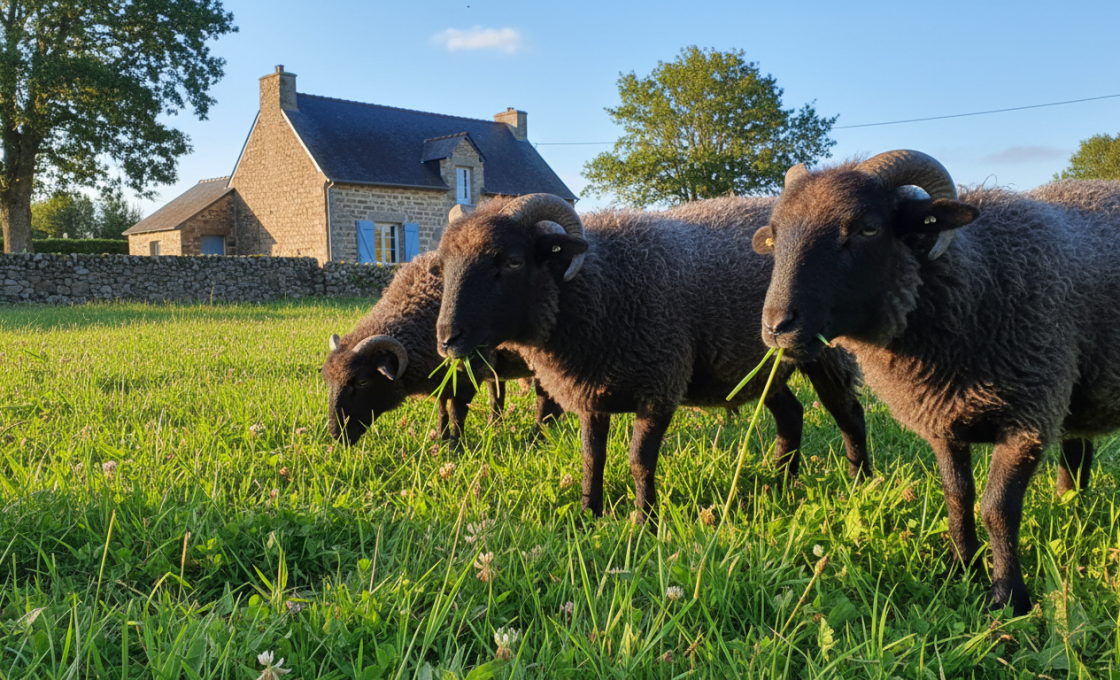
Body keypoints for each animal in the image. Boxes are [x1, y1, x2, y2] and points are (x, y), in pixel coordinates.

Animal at [322, 251, 563, 447]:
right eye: (327, 380)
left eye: (362, 382)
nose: (337, 436)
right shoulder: (442, 379)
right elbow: (442, 411)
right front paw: (441, 439)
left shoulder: (467, 376)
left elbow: (457, 413)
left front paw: (456, 447)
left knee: (546, 402)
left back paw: (538, 438)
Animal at [434, 193, 870, 524]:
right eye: (443, 264)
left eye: (512, 261)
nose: (446, 338)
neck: (600, 287)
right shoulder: (592, 395)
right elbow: (592, 459)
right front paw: (588, 515)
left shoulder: (659, 386)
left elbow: (639, 461)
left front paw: (644, 521)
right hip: (762, 367)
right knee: (792, 415)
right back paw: (781, 484)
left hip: (828, 354)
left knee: (848, 413)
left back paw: (859, 482)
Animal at [752, 149, 1120, 615]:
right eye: (775, 235)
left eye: (868, 228)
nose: (777, 326)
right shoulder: (943, 421)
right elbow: (958, 497)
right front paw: (962, 568)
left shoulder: (1029, 418)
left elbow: (997, 509)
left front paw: (1008, 597)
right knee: (1075, 457)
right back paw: (1071, 512)